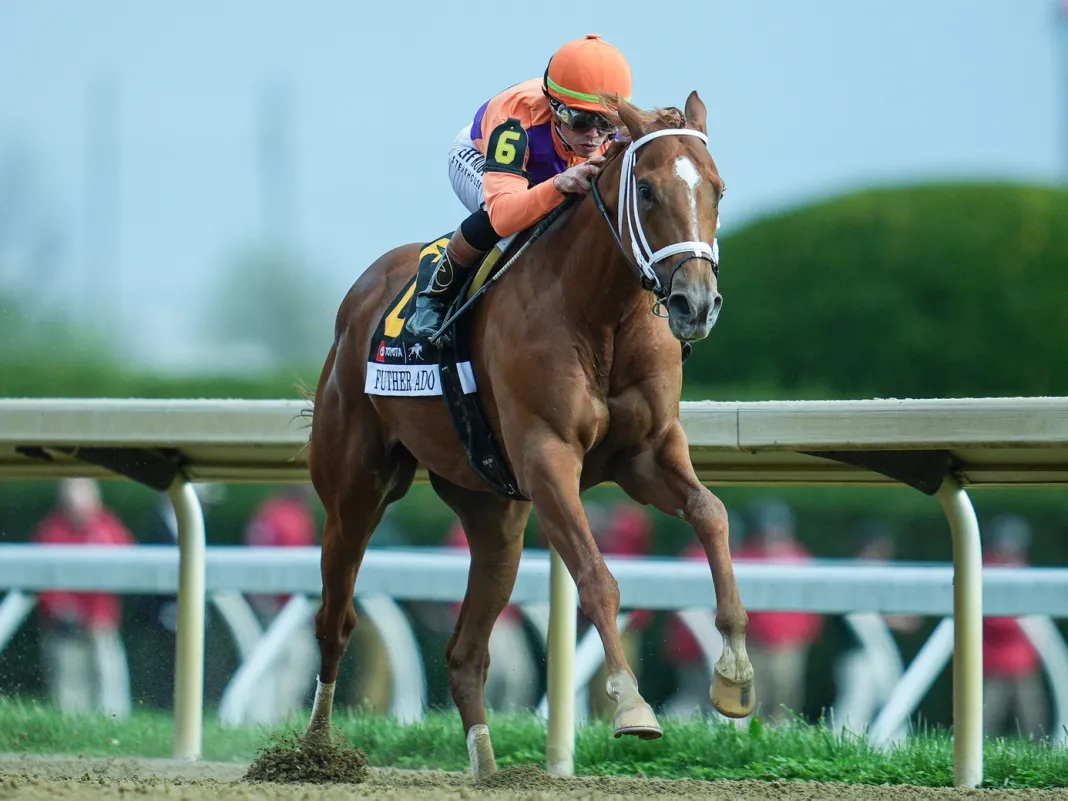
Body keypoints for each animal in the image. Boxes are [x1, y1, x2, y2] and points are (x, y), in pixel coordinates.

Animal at [301, 90, 754, 781]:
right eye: (647, 191)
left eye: (718, 189)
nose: (695, 304)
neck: (601, 314)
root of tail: (359, 300)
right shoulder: (547, 457)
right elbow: (596, 577)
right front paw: (631, 704)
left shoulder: (647, 455)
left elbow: (713, 514)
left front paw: (734, 674)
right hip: (354, 492)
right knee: (336, 619)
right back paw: (314, 752)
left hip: (495, 517)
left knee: (465, 653)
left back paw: (487, 768)